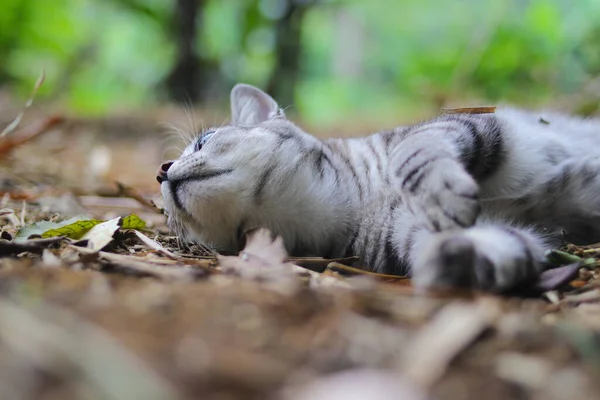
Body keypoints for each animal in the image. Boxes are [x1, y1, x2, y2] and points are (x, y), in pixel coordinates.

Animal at [158, 83, 600, 290]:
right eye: (168, 219)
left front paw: (440, 191)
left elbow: (412, 149)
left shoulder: (476, 122)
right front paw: (455, 255)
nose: (162, 171)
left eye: (203, 140)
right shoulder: (396, 235)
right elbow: (498, 242)